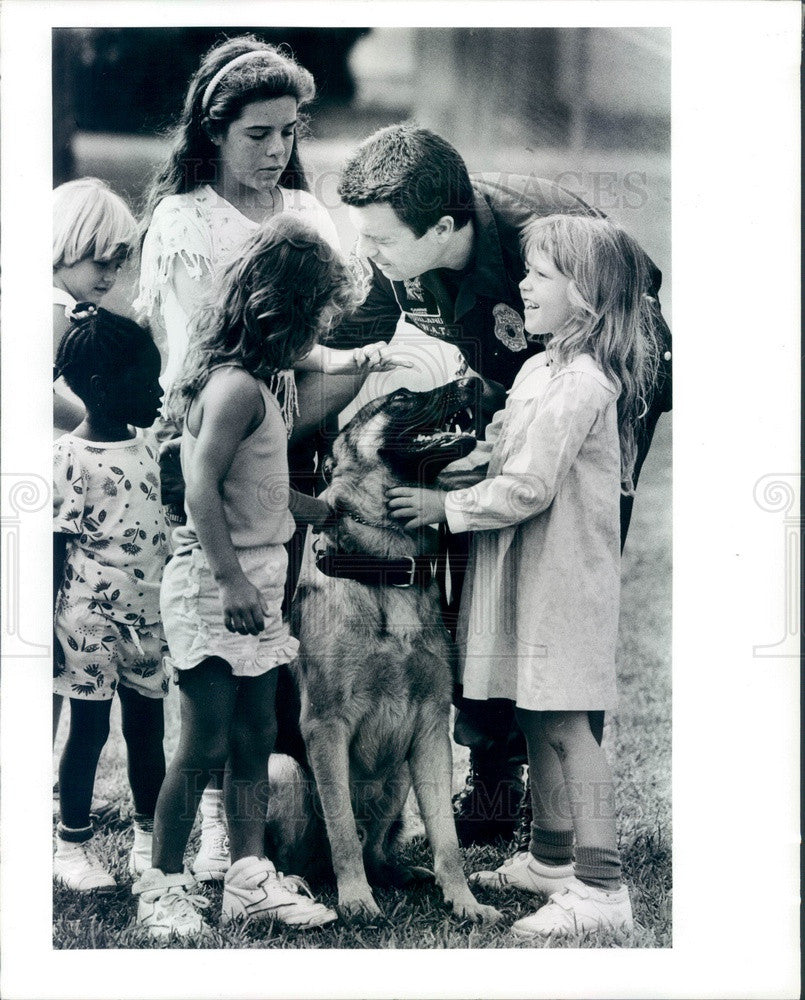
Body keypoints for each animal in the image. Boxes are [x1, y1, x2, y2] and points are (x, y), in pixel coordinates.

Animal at [266, 380, 500, 920]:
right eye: (400, 398)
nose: (473, 381)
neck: (386, 568)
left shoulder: (432, 730)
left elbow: (446, 839)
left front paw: (464, 899)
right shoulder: (325, 727)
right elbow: (341, 828)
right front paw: (356, 899)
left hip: (398, 780)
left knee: (375, 847)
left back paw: (397, 872)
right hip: (283, 771)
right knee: (306, 853)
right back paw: (297, 883)